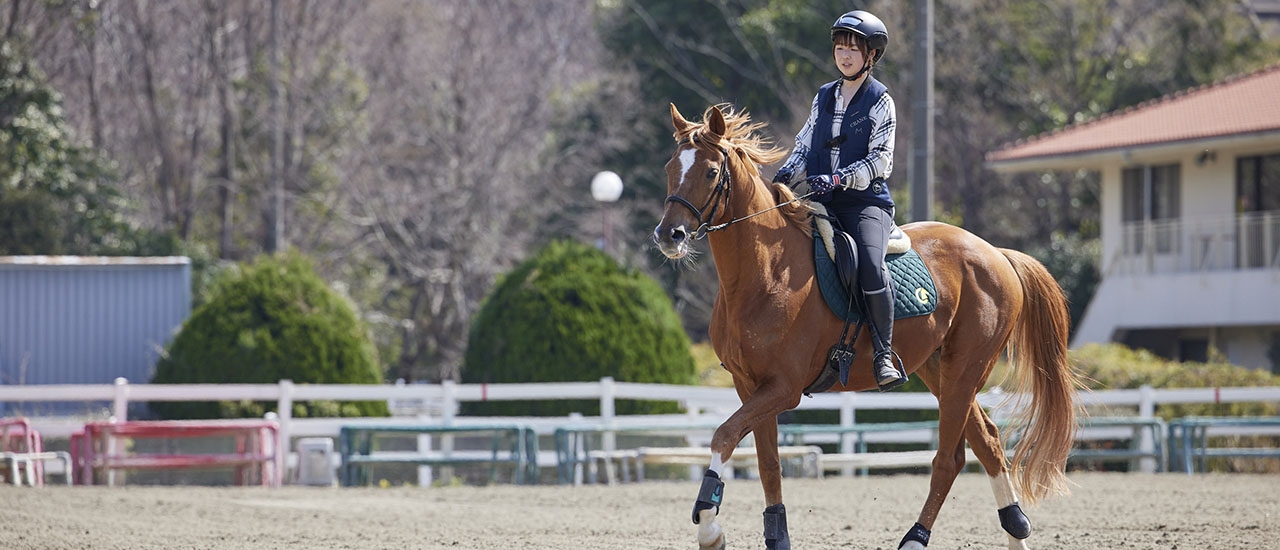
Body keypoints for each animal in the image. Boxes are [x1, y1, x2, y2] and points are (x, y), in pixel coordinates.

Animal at [655, 104, 1085, 550]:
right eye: (670, 167)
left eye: (710, 172)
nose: (669, 235)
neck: (764, 272)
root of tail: (995, 252)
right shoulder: (750, 386)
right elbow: (768, 463)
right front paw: (774, 535)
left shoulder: (783, 389)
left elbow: (723, 436)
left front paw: (709, 526)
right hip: (941, 371)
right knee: (988, 443)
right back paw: (1014, 529)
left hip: (967, 370)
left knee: (949, 459)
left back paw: (916, 537)